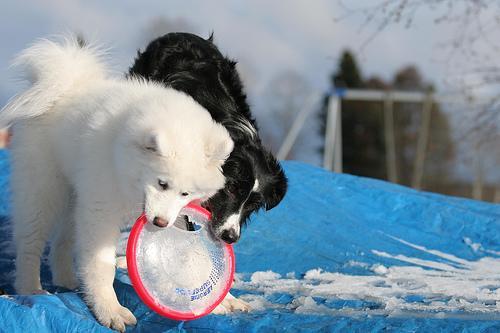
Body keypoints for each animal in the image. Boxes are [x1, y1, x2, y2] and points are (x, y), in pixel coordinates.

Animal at [1, 37, 234, 332]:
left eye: (185, 193)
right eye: (161, 183)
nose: (160, 223)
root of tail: (67, 84)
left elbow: (193, 254)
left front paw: (223, 301)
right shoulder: (101, 212)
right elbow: (101, 264)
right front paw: (111, 310)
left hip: (77, 198)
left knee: (63, 242)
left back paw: (67, 280)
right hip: (44, 189)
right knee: (30, 243)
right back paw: (31, 288)